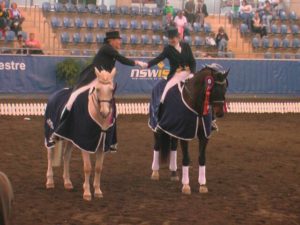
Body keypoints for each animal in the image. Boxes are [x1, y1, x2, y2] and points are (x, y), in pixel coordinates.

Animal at [150, 64, 230, 194]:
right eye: (214, 88)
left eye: (225, 88)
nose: (220, 113)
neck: (197, 106)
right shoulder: (185, 134)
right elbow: (186, 159)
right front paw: (186, 185)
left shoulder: (203, 135)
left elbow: (202, 158)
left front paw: (202, 185)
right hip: (158, 128)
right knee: (157, 146)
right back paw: (155, 172)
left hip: (174, 129)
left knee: (173, 148)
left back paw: (173, 173)